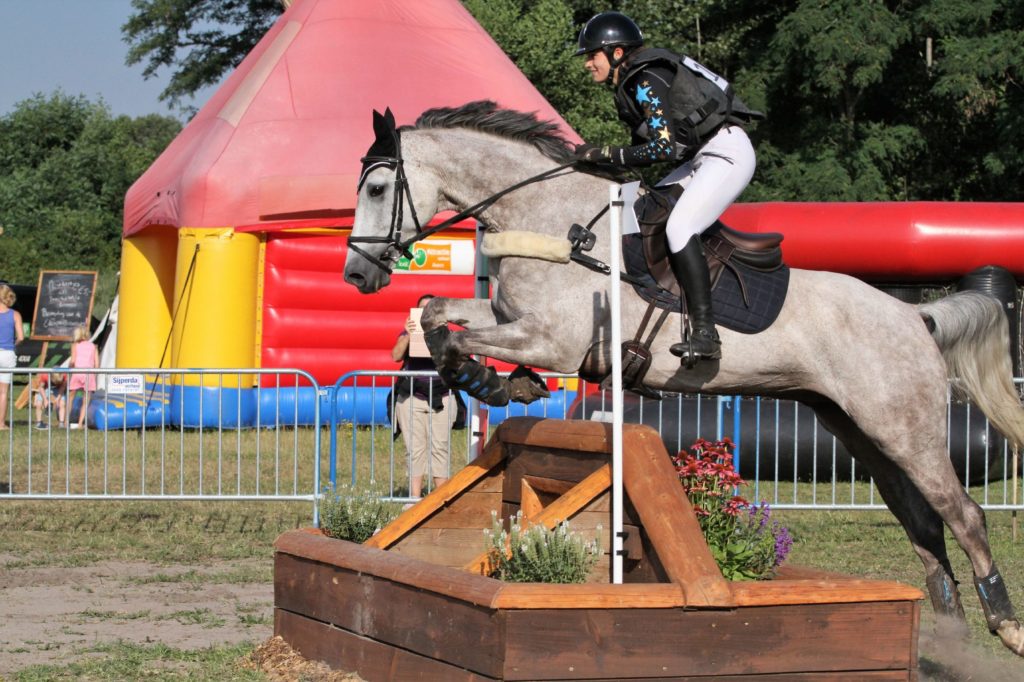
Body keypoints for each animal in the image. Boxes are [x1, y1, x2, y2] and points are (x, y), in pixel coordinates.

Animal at [344, 100, 1024, 655]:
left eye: (377, 187)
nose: (356, 274)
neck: (549, 221)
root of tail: (916, 316)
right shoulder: (514, 320)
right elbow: (437, 314)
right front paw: (504, 382)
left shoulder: (552, 338)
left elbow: (454, 335)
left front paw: (493, 383)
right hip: (861, 431)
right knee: (923, 521)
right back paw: (952, 635)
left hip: (903, 429)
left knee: (964, 514)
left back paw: (1004, 625)